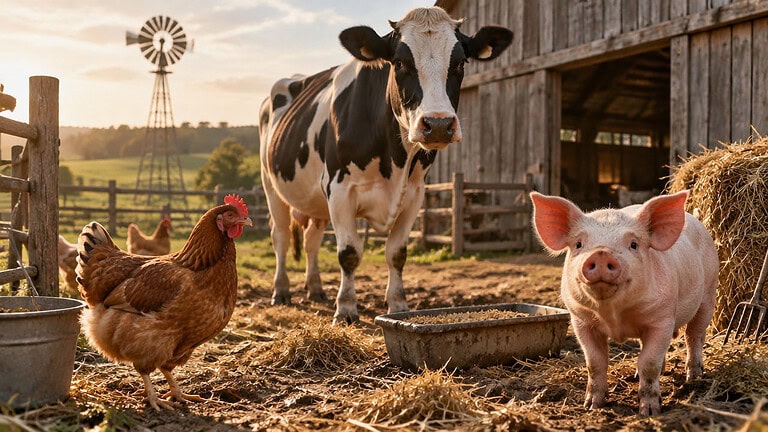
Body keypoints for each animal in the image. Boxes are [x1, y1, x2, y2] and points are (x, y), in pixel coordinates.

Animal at [259, 6, 513, 325]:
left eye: (460, 62)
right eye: (400, 62)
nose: (438, 124)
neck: (394, 161)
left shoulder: (414, 194)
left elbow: (396, 253)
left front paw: (398, 305)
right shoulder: (339, 190)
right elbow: (349, 253)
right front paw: (346, 309)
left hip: (315, 200)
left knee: (311, 240)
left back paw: (315, 289)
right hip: (272, 188)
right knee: (280, 237)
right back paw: (281, 291)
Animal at [529, 190, 718, 416]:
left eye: (633, 244)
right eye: (578, 244)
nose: (601, 253)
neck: (614, 316)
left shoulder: (663, 318)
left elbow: (649, 363)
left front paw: (650, 411)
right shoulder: (581, 320)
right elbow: (595, 362)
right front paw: (591, 406)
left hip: (709, 293)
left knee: (694, 336)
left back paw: (694, 377)